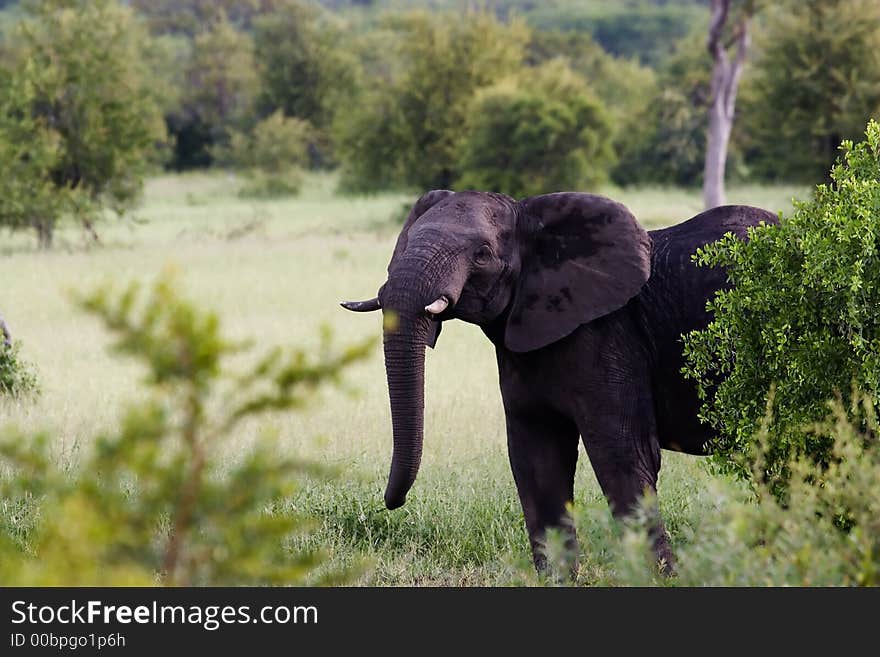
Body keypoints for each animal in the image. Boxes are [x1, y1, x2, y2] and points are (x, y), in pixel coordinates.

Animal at [340, 187, 772, 572]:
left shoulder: (610, 337)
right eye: (407, 241)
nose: (391, 502)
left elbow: (623, 454)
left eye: (482, 254)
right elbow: (537, 461)